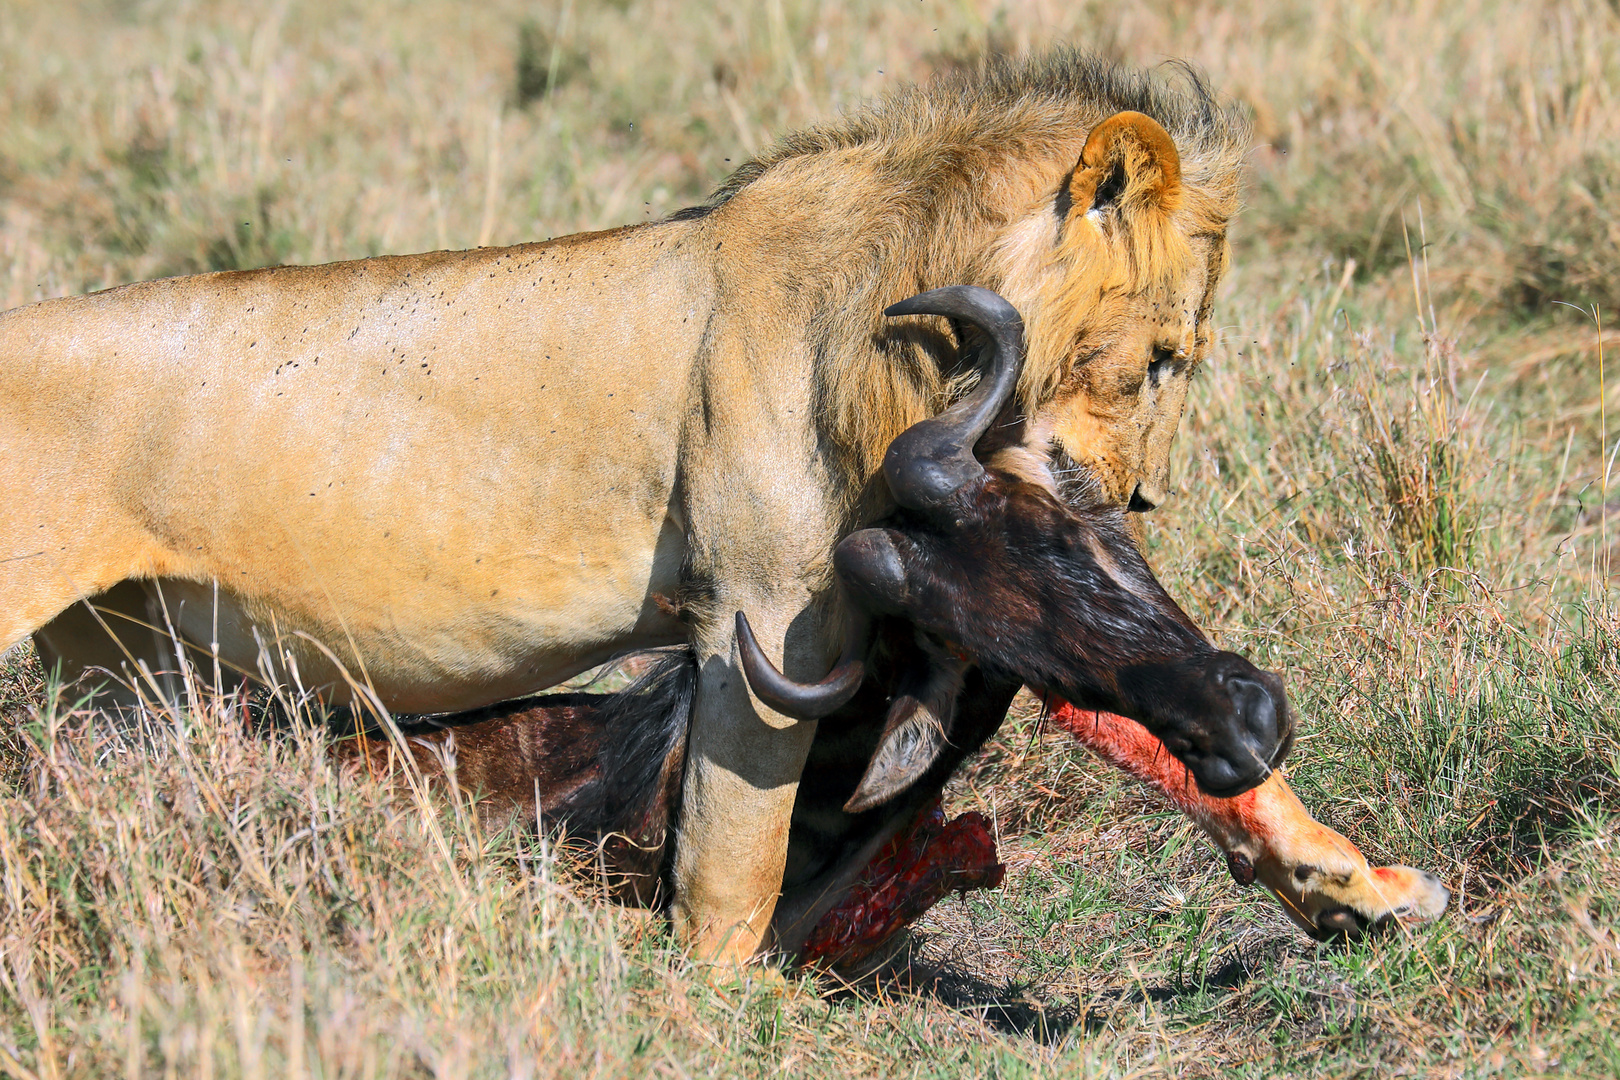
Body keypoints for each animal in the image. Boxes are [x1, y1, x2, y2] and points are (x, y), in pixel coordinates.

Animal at [3, 52, 1250, 971]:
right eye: (1164, 361)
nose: (1133, 498)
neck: (896, 327)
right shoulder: (759, 619)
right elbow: (731, 869)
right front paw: (712, 1003)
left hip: (109, 662)